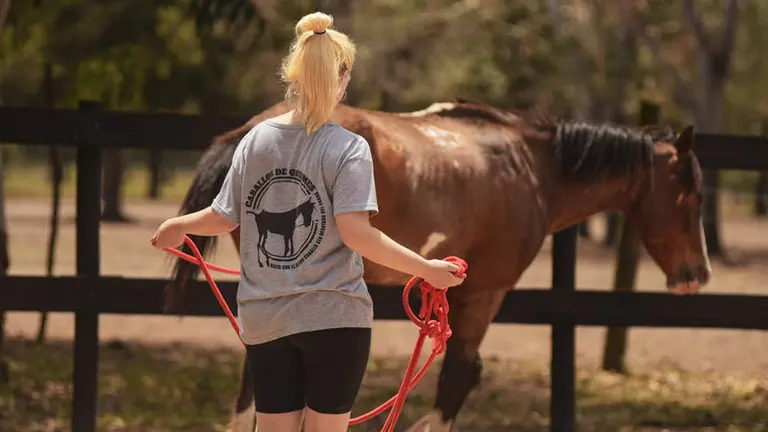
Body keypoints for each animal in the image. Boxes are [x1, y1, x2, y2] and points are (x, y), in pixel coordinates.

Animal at [163, 99, 710, 432]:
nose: (697, 275)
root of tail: (244, 132)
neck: (532, 169)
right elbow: (458, 377)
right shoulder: (485, 295)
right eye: (692, 195)